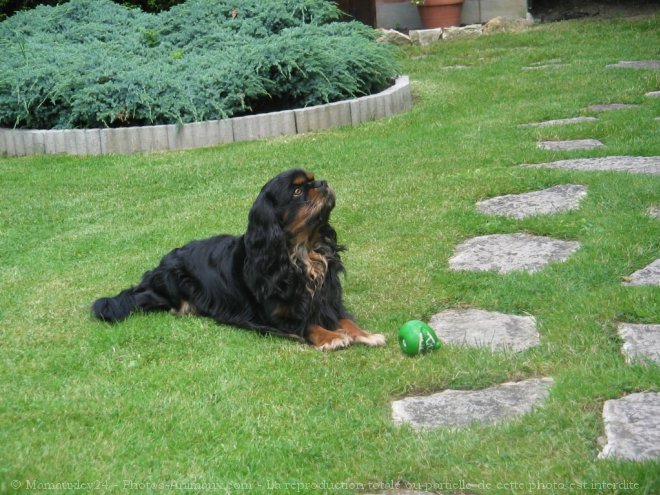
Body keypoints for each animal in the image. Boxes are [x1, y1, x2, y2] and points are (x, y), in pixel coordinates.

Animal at [90, 170, 384, 352]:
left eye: (312, 181)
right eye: (298, 191)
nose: (322, 183)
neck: (302, 252)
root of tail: (158, 268)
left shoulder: (328, 300)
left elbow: (345, 320)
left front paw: (366, 334)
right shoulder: (273, 316)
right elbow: (307, 323)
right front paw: (331, 337)